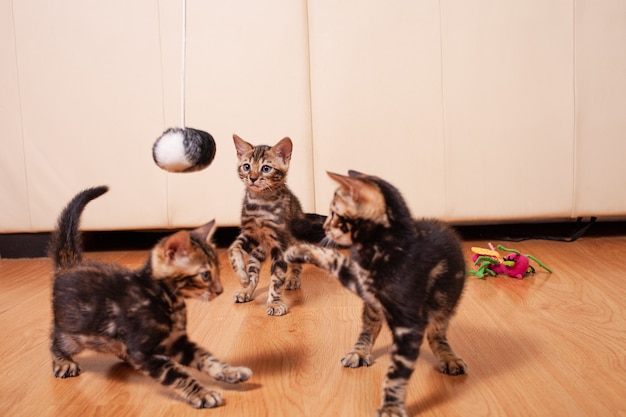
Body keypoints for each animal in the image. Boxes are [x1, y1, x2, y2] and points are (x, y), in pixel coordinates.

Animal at [49, 185, 251, 406]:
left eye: (218, 271)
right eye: (205, 275)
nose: (220, 290)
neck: (167, 300)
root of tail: (69, 266)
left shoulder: (176, 341)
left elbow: (205, 357)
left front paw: (230, 372)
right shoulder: (145, 350)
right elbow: (177, 375)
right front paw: (202, 393)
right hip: (73, 334)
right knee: (56, 340)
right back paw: (63, 361)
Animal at [229, 134, 314, 316]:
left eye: (266, 168)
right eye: (246, 166)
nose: (253, 178)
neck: (260, 203)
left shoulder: (279, 244)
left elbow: (277, 278)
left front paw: (275, 303)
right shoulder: (250, 234)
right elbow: (233, 248)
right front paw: (242, 276)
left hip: (293, 244)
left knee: (296, 264)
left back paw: (293, 279)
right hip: (258, 251)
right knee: (254, 270)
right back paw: (247, 290)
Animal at [286, 170, 466, 416]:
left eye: (333, 212)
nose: (323, 226)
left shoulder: (409, 326)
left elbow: (396, 374)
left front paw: (391, 407)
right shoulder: (361, 281)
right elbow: (334, 259)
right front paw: (300, 250)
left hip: (445, 304)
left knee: (436, 332)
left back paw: (448, 356)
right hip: (374, 306)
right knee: (369, 327)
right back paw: (359, 352)